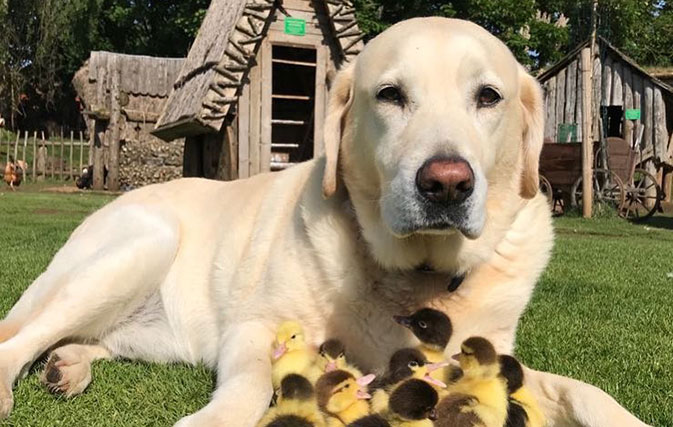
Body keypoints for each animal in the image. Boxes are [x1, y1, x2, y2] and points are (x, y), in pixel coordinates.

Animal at [0, 17, 648, 427]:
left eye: (488, 96)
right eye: (390, 94)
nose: (446, 183)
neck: (416, 277)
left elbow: (581, 389)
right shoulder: (254, 327)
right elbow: (250, 385)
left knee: (87, 339)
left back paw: (69, 366)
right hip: (138, 247)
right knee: (18, 337)